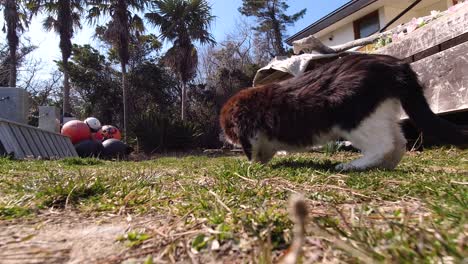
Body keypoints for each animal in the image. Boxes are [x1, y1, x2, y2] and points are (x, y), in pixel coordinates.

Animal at [219, 53, 468, 171]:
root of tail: (397, 66)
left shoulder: (253, 133)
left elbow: (255, 150)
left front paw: (250, 164)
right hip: (380, 114)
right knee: (399, 143)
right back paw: (381, 166)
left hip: (352, 117)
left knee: (384, 145)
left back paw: (351, 166)